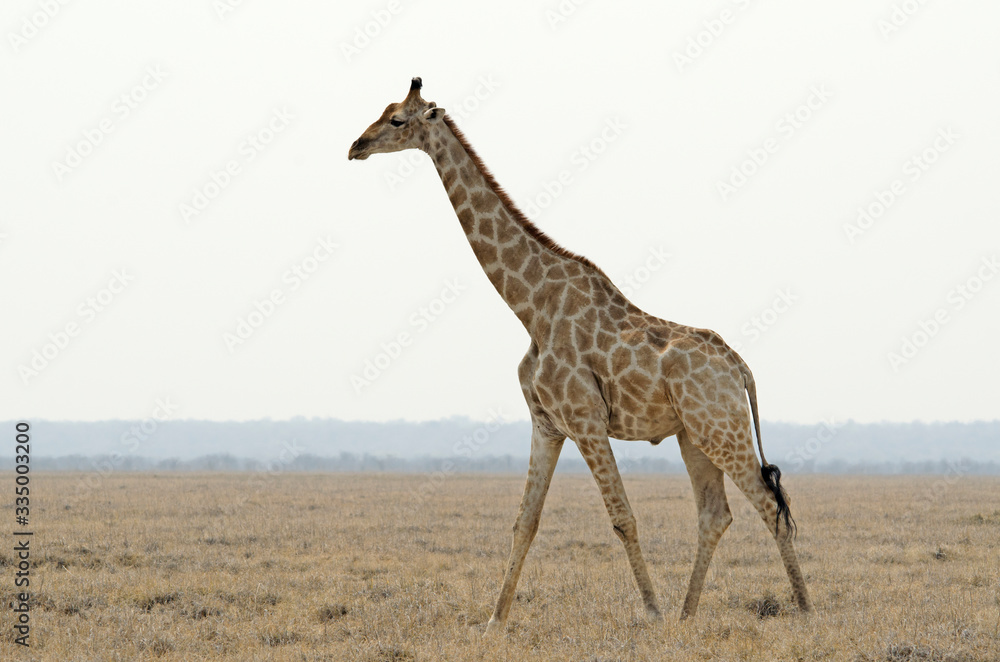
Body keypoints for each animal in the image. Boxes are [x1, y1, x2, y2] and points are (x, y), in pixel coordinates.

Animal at [348, 78, 812, 631]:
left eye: (397, 119)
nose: (355, 147)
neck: (529, 307)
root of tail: (739, 365)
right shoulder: (547, 422)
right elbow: (525, 522)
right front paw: (494, 622)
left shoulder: (585, 418)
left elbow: (622, 517)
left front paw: (651, 612)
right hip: (695, 435)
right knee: (716, 513)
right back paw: (687, 616)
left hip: (722, 429)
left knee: (771, 505)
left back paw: (804, 612)